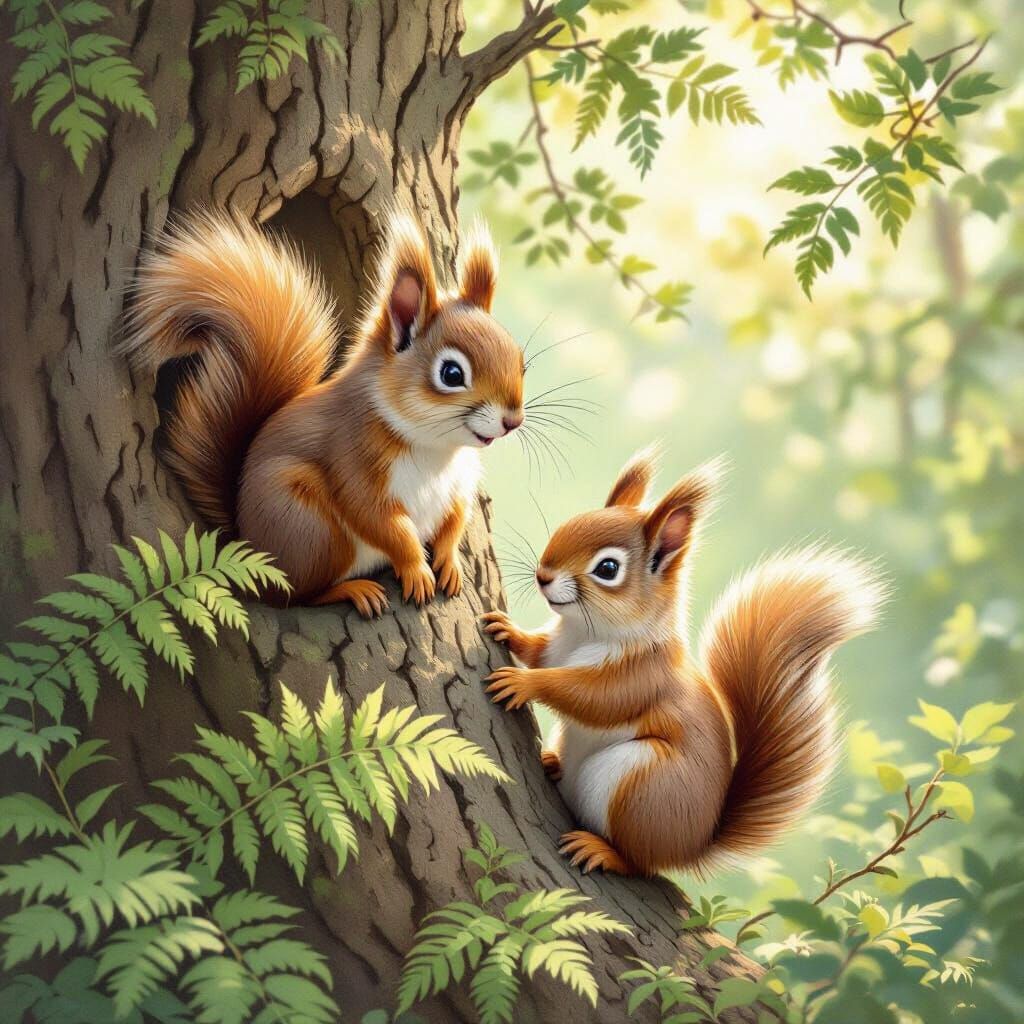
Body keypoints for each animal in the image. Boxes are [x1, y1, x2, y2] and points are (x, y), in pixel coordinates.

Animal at [121, 210, 525, 617]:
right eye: (452, 374)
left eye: (520, 361)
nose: (513, 421)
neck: (436, 449)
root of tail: (247, 545)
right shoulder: (355, 462)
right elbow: (382, 523)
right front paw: (417, 570)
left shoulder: (460, 480)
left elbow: (455, 520)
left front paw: (450, 562)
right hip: (311, 529)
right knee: (294, 596)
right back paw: (353, 590)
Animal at [481, 448, 884, 877]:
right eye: (567, 524)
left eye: (607, 568)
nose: (543, 576)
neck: (585, 634)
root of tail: (690, 846)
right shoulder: (557, 647)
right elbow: (539, 651)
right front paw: (508, 630)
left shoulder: (645, 676)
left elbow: (596, 699)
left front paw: (523, 683)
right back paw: (552, 761)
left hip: (639, 784)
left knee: (639, 862)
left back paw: (603, 851)